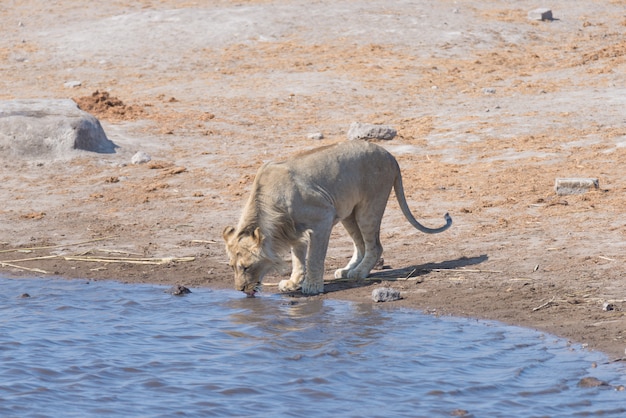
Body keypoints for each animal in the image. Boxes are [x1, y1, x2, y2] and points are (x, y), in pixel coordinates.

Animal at [222, 140, 450, 298]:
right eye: (232, 266)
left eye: (246, 267)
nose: (240, 289)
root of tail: (390, 155)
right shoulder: (293, 230)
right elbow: (297, 257)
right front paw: (293, 282)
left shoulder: (323, 217)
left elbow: (314, 257)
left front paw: (312, 286)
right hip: (349, 212)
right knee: (360, 244)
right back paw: (348, 270)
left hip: (369, 207)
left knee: (375, 246)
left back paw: (359, 273)